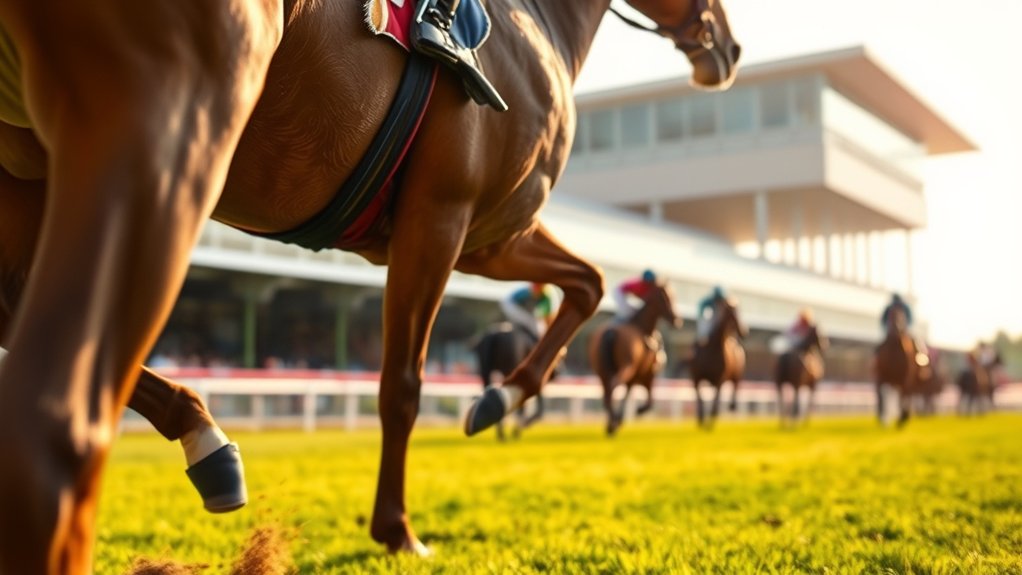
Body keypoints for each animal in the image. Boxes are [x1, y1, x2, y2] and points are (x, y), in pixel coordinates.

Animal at [588, 282, 680, 436]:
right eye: (667, 297)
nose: (677, 320)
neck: (643, 327)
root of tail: (610, 332)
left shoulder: (635, 377)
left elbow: (627, 393)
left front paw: (620, 419)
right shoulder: (648, 374)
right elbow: (649, 400)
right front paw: (638, 410)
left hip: (602, 371)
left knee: (607, 393)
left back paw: (610, 423)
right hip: (627, 367)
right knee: (614, 385)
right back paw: (613, 423)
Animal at [688, 297, 746, 429]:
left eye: (739, 310)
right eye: (731, 312)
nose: (744, 331)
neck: (712, 350)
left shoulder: (719, 378)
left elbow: (715, 400)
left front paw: (711, 420)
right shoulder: (697, 377)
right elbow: (699, 398)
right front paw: (701, 419)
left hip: (736, 374)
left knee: (735, 386)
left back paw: (731, 406)